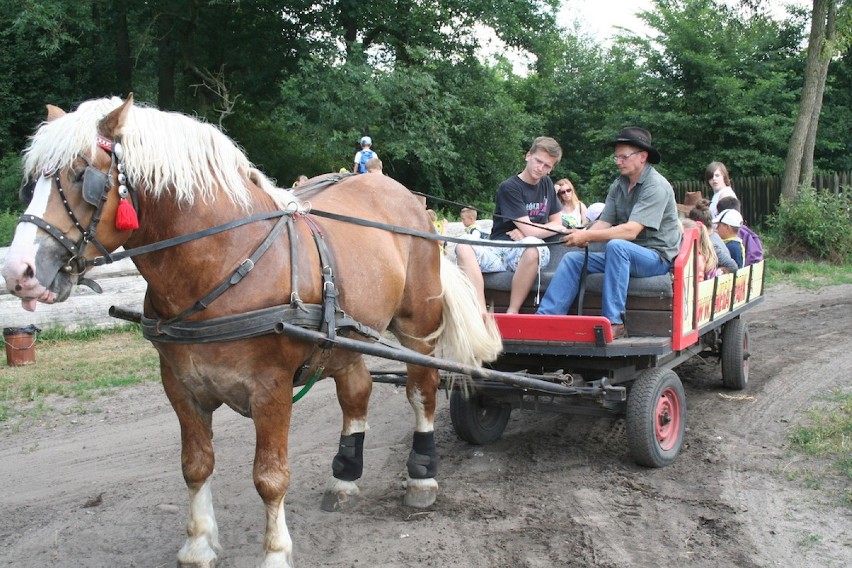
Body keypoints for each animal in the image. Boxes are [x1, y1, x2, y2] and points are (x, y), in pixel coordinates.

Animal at [3, 95, 502, 564]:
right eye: (31, 182)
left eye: (81, 174)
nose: (18, 272)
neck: (223, 260)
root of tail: (407, 198)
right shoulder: (180, 385)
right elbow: (196, 465)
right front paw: (198, 545)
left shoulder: (271, 388)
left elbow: (270, 476)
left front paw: (276, 552)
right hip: (343, 336)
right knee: (356, 391)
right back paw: (344, 477)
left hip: (418, 325)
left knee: (422, 390)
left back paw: (422, 475)